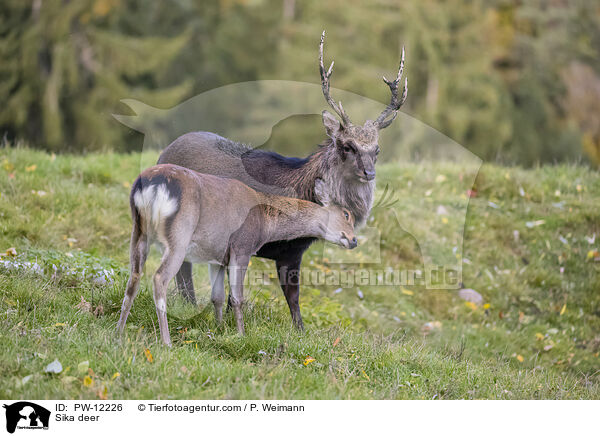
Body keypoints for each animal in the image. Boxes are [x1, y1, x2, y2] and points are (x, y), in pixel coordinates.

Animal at [117, 164, 356, 348]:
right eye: (347, 214)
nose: (353, 240)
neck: (265, 223)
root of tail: (153, 184)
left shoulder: (217, 257)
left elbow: (217, 296)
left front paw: (219, 329)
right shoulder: (242, 247)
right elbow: (237, 297)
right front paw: (241, 334)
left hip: (138, 231)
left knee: (134, 277)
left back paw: (118, 331)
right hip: (179, 236)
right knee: (159, 278)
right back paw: (166, 342)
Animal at [157, 30, 408, 328]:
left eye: (376, 150)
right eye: (347, 146)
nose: (369, 173)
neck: (300, 191)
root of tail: (164, 151)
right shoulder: (284, 249)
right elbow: (288, 296)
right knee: (181, 267)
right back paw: (187, 304)